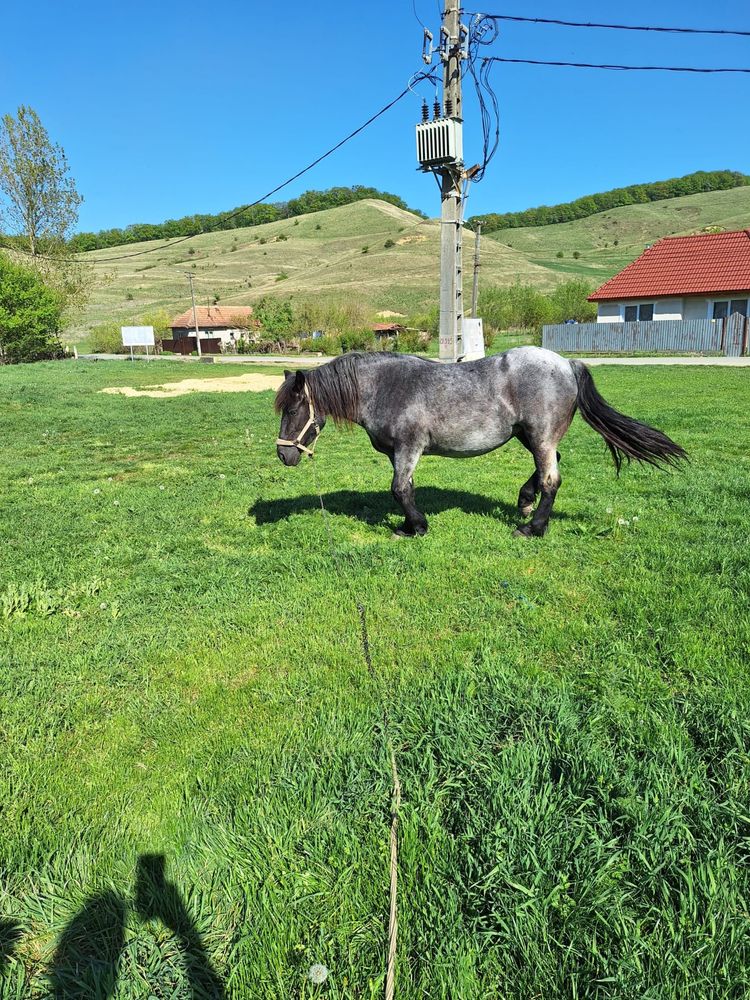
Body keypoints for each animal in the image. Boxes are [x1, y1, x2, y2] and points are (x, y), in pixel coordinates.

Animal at [274, 350, 688, 540]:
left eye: (293, 408)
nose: (283, 453)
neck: (388, 387)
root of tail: (566, 363)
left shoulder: (408, 448)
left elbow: (399, 489)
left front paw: (417, 527)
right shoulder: (398, 453)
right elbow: (405, 488)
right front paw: (409, 525)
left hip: (538, 435)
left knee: (552, 479)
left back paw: (532, 527)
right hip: (529, 436)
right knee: (549, 466)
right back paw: (524, 501)